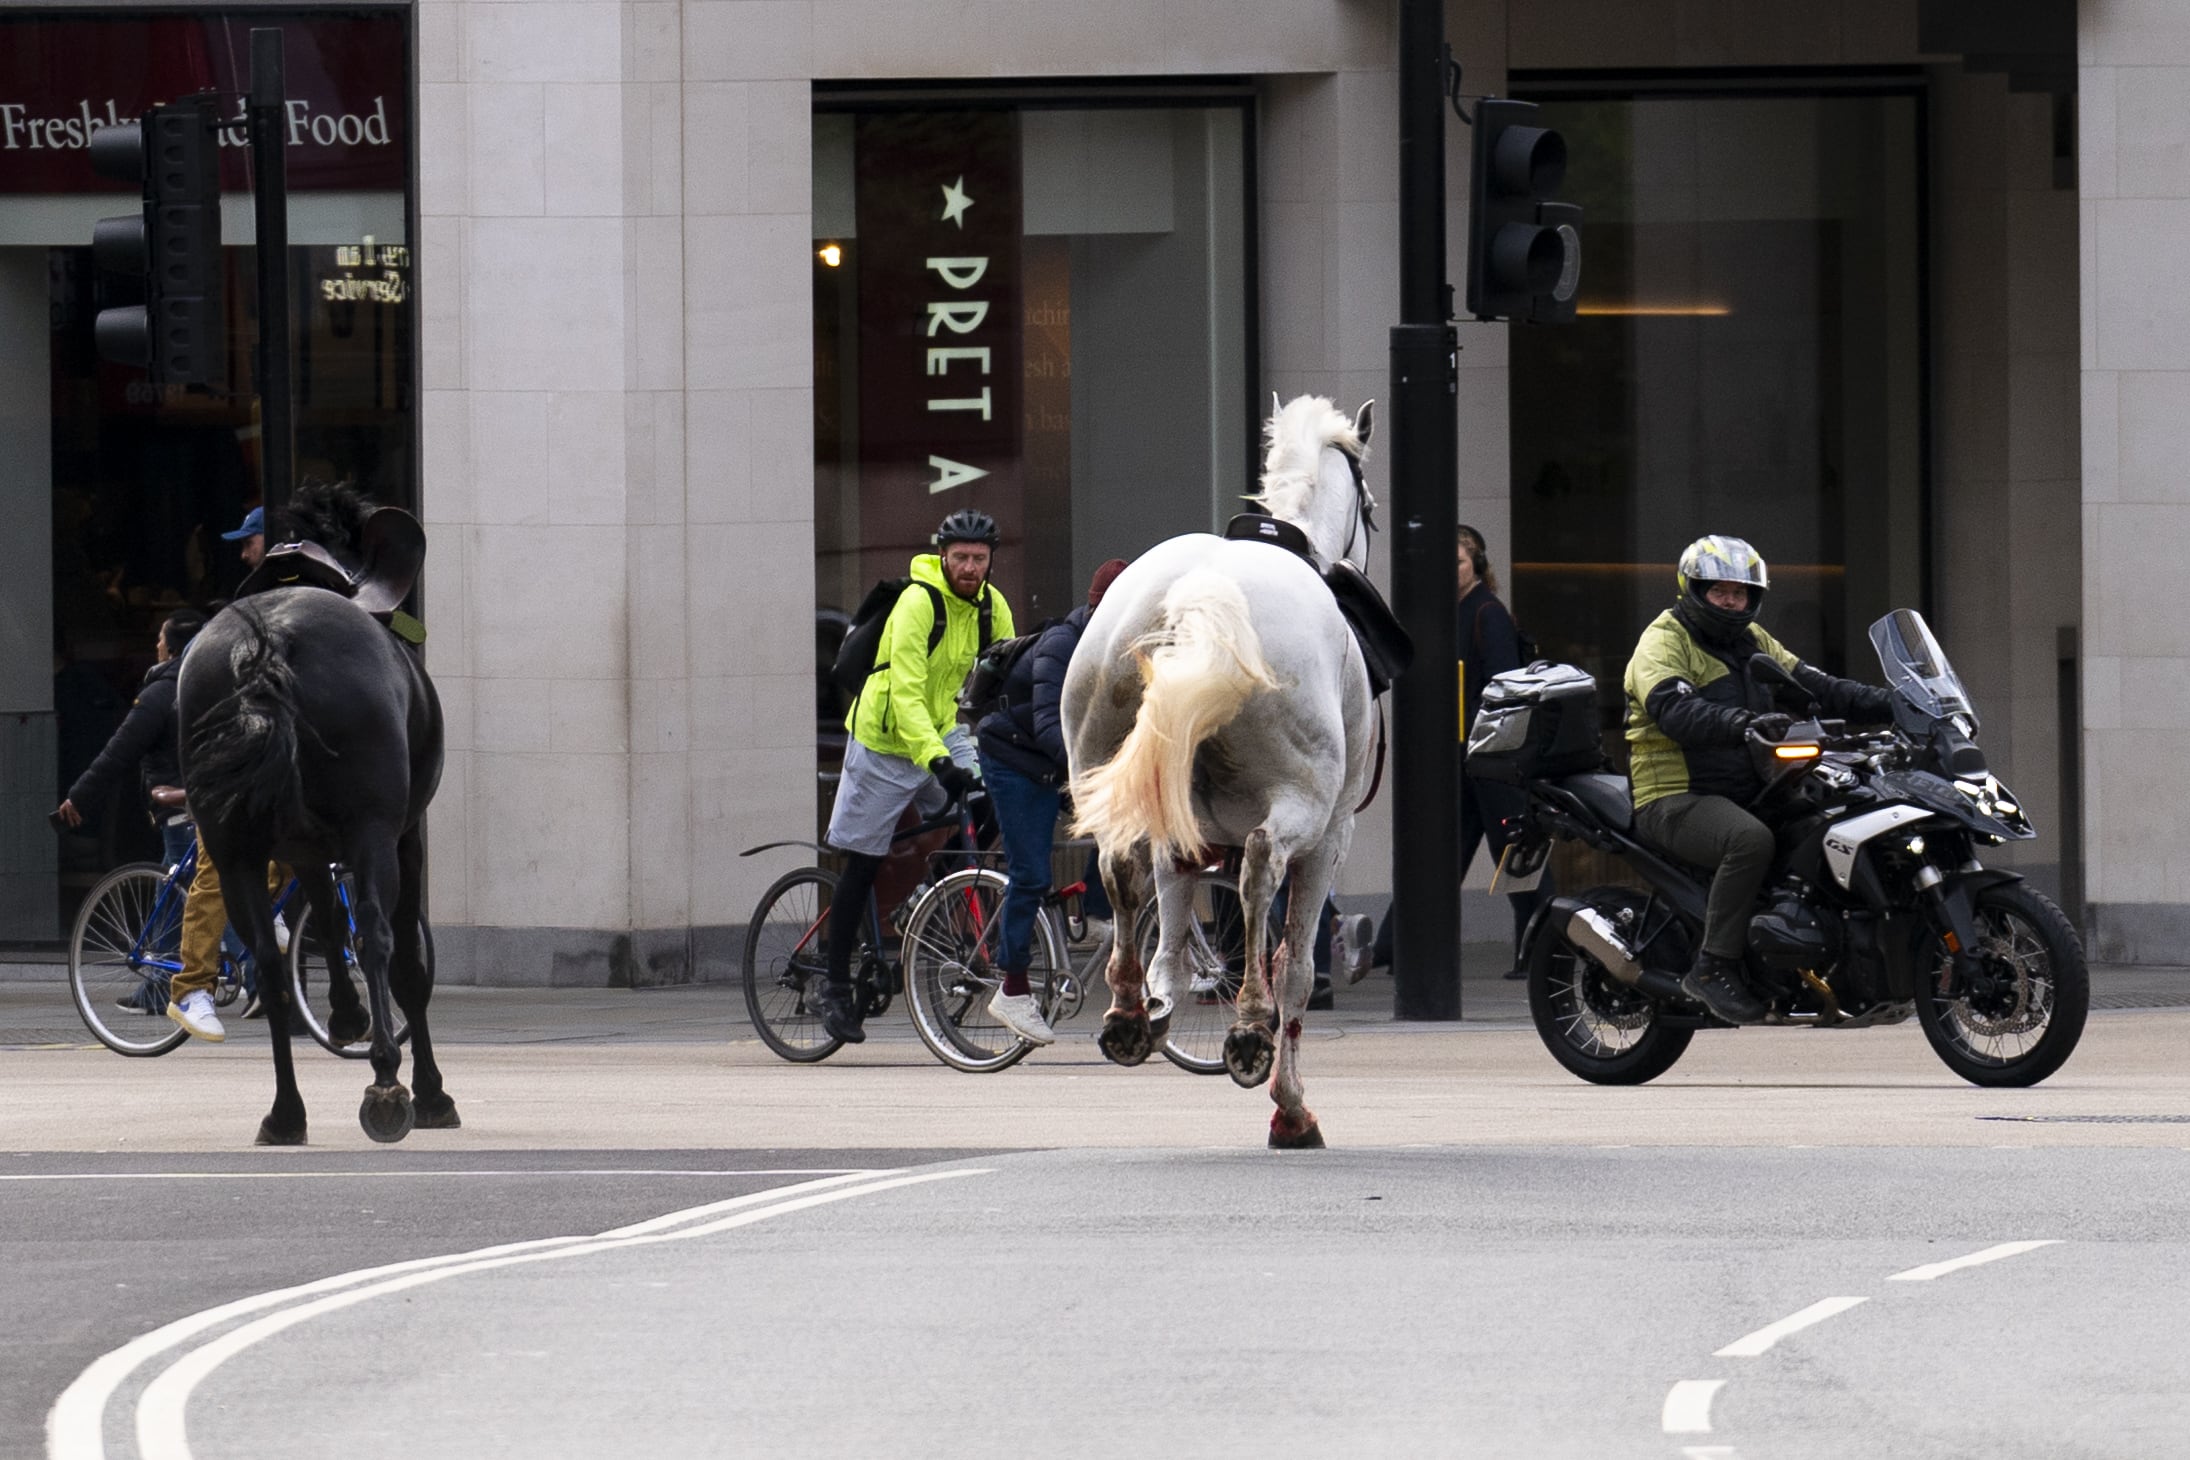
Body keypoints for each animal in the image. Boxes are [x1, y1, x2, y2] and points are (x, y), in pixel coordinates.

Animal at [178, 485, 453, 1146]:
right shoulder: (403, 836)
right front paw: (431, 1090)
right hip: (373, 828)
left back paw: (285, 1112)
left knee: (270, 965)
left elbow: (325, 923)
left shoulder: (301, 847)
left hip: (233, 847)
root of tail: (265, 647)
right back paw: (387, 1086)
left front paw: (347, 1014)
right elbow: (403, 964)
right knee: (377, 935)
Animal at [1064, 394, 1384, 1146]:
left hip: (1110, 774)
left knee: (1119, 868)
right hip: (1299, 808)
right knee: (1262, 869)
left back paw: (1127, 1012)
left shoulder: (1178, 834)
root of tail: (1200, 596)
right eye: (1373, 508)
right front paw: (1291, 1107)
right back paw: (1248, 1031)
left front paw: (1155, 1003)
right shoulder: (1331, 841)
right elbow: (1294, 967)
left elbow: (1174, 943)